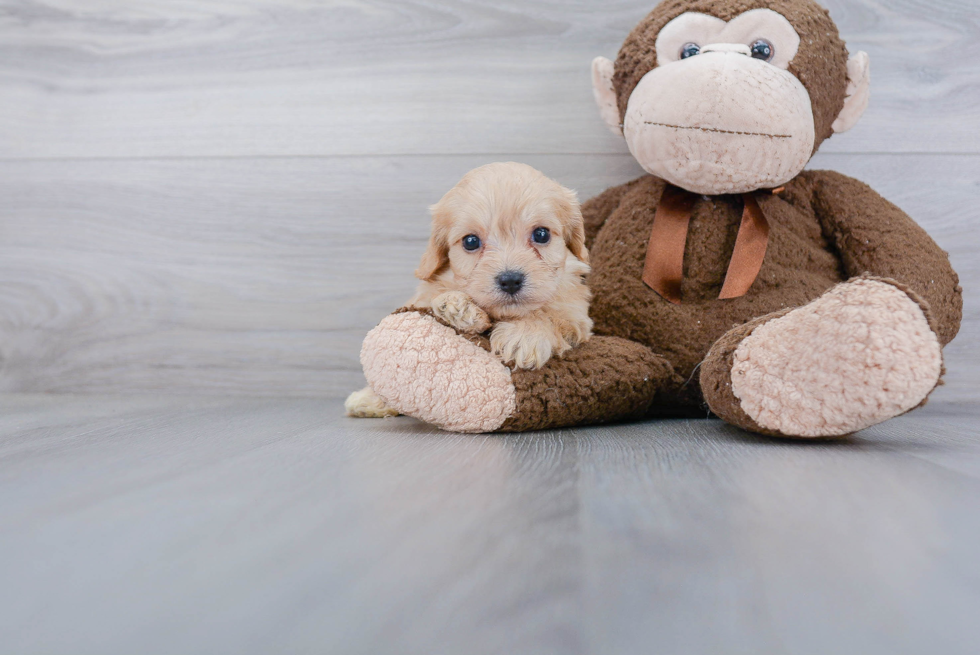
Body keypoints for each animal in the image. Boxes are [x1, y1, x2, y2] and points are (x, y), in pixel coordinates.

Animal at [344, 164, 588, 420]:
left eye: (541, 234)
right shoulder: (424, 295)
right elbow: (436, 295)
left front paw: (525, 334)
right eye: (471, 241)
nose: (510, 280)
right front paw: (457, 306)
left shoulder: (577, 315)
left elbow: (550, 315)